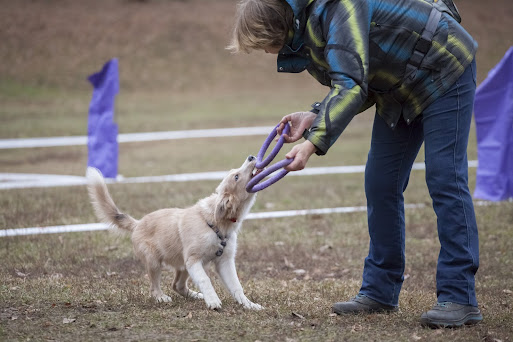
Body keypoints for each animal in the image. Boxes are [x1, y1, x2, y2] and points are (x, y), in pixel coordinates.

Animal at [86, 156, 262, 312]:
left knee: (177, 285)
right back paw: (161, 297)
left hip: (183, 266)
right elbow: (205, 279)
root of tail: (137, 223)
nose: (251, 157)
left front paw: (249, 305)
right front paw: (213, 301)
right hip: (154, 261)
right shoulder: (193, 260)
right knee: (154, 287)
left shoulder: (224, 261)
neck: (215, 223)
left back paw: (196, 295)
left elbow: (236, 286)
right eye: (236, 176)